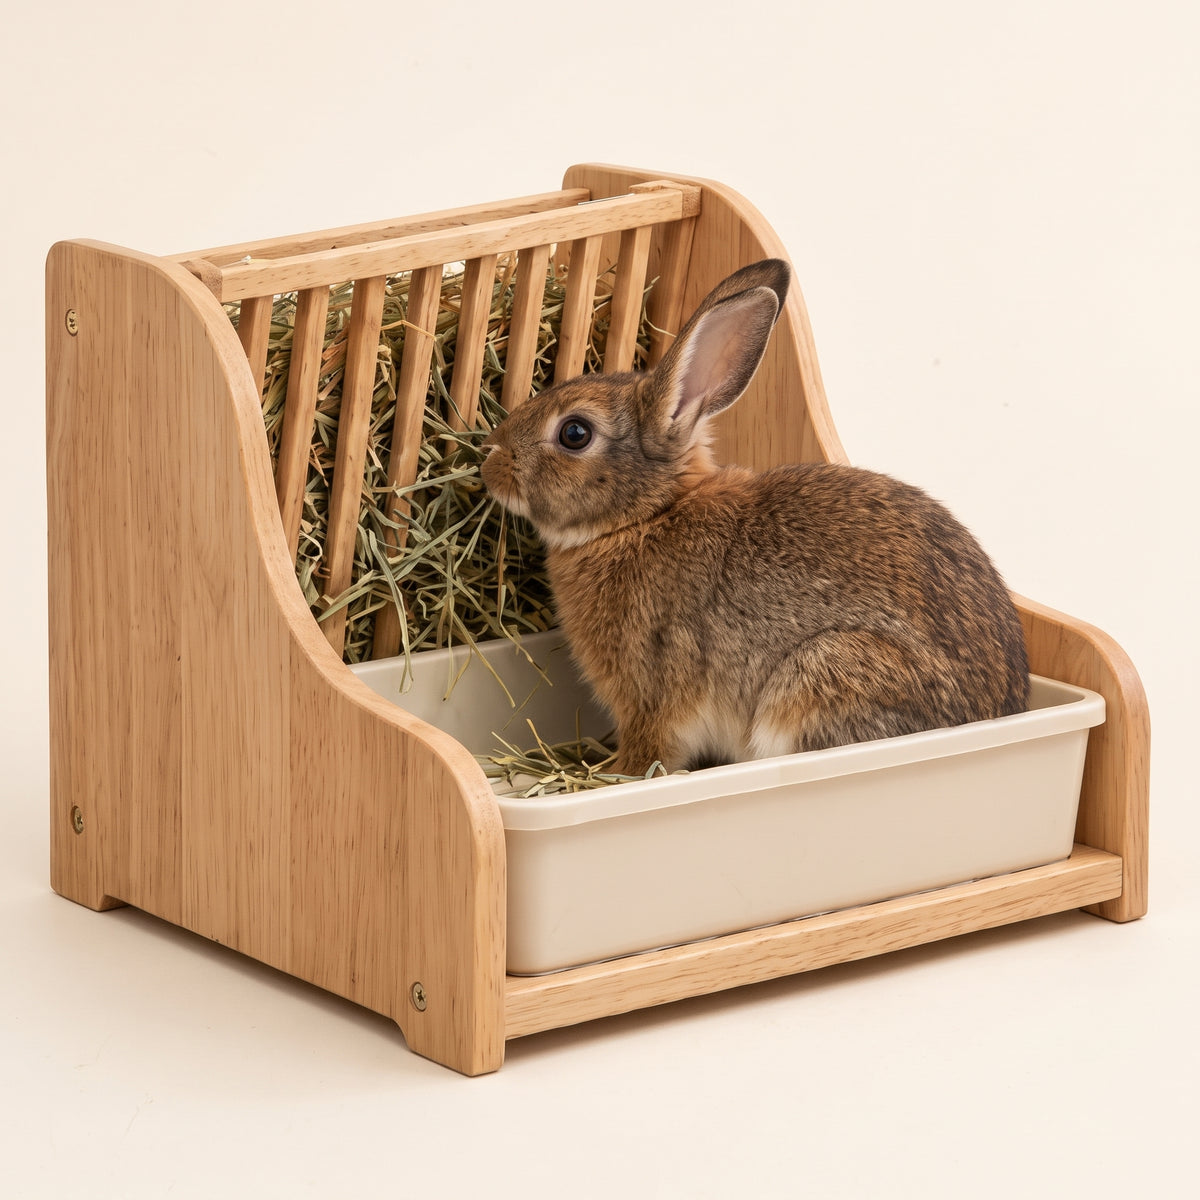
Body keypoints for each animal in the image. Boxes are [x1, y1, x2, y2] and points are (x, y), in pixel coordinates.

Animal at [480, 259, 1030, 776]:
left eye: (574, 433)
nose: (490, 464)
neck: (644, 517)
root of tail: (994, 716)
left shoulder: (652, 690)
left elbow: (652, 748)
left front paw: (615, 774)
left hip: (822, 675)